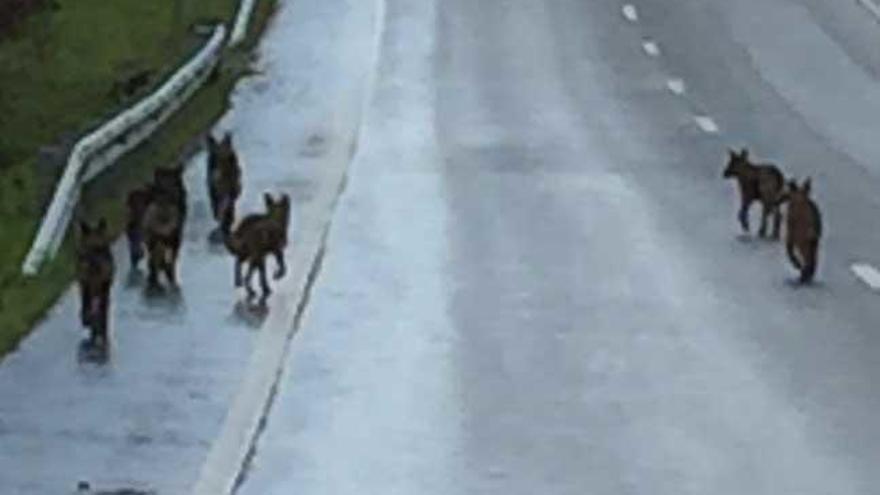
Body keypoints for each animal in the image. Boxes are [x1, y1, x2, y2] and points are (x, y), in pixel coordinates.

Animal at [76, 217, 114, 348]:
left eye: (101, 248)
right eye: (89, 249)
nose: (98, 266)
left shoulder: (104, 287)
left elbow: (101, 313)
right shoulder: (85, 284)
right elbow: (86, 305)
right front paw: (87, 319)